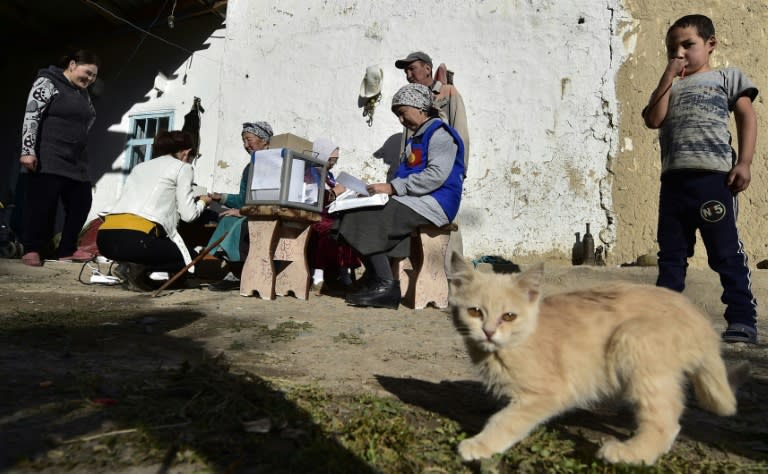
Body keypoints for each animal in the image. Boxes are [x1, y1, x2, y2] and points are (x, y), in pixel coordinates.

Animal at [448, 254, 748, 464]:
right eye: (475, 312)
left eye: (509, 316)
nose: (488, 332)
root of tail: (701, 321)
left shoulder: (548, 393)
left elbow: (506, 419)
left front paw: (480, 444)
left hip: (632, 338)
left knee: (666, 422)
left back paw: (630, 454)